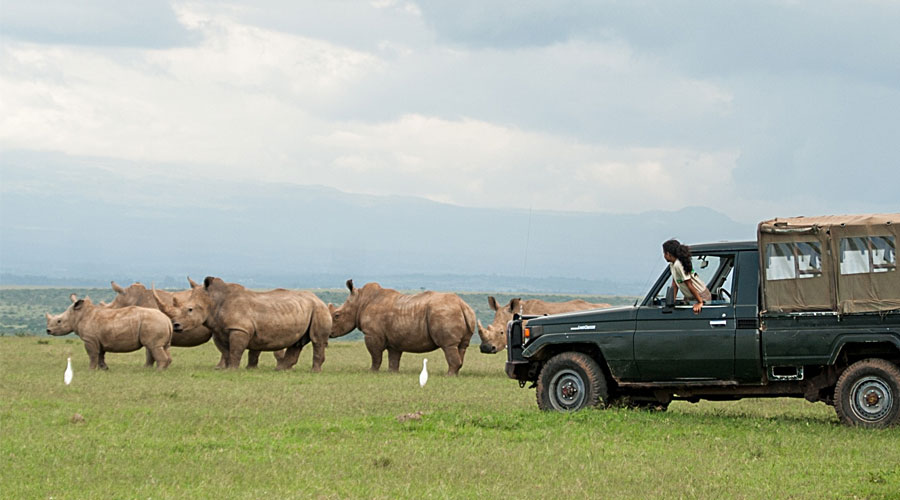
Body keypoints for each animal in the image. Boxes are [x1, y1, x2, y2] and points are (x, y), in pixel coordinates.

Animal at [45, 292, 173, 372]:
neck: (78, 315)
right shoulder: (97, 339)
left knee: (153, 346)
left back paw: (158, 371)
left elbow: (92, 354)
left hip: (153, 323)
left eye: (59, 321)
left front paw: (90, 370)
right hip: (157, 323)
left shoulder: (89, 339)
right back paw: (161, 369)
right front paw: (104, 369)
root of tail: (167, 320)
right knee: (161, 347)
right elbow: (100, 355)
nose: (48, 330)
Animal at [153, 278, 332, 372]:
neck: (214, 300)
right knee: (297, 343)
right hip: (307, 308)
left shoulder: (239, 328)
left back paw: (314, 371)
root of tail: (318, 298)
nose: (176, 325)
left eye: (189, 309)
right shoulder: (218, 329)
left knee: (317, 340)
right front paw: (227, 369)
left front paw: (233, 370)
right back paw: (280, 370)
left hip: (319, 309)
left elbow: (235, 350)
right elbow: (226, 351)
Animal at [326, 280, 474, 374]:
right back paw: (455, 374)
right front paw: (392, 373)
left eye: (337, 316)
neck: (359, 302)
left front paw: (372, 371)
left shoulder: (372, 334)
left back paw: (448, 375)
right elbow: (393, 358)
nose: (329, 333)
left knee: (448, 345)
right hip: (460, 313)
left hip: (444, 313)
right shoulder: (395, 338)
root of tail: (463, 305)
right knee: (461, 346)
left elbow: (375, 355)